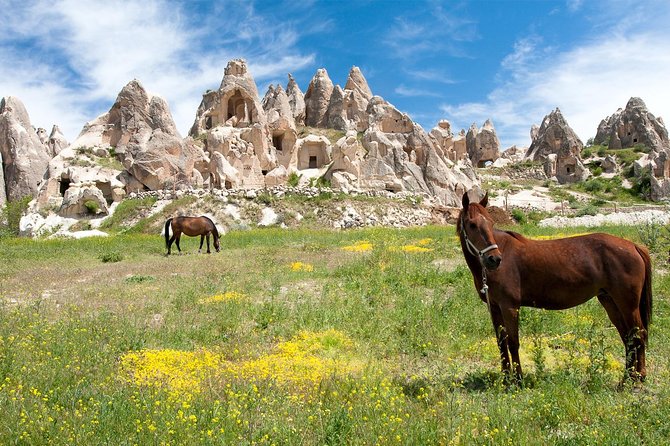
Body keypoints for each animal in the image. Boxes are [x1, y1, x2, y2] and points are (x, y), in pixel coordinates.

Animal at [460, 192, 652, 384]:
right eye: (472, 224)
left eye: (491, 223)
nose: (494, 259)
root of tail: (634, 246)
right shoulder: (494, 308)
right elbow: (501, 342)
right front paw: (506, 379)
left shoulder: (510, 307)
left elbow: (513, 342)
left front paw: (519, 379)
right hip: (610, 302)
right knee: (628, 337)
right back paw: (627, 378)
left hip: (628, 305)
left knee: (639, 335)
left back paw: (638, 377)